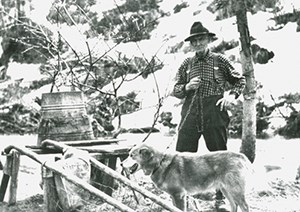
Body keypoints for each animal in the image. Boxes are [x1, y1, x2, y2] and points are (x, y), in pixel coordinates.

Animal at [122, 142, 253, 212]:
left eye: (131, 155)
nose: (121, 164)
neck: (159, 163)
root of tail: (239, 155)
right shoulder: (174, 196)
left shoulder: (179, 195)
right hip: (226, 190)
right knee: (234, 205)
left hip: (235, 190)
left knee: (244, 206)